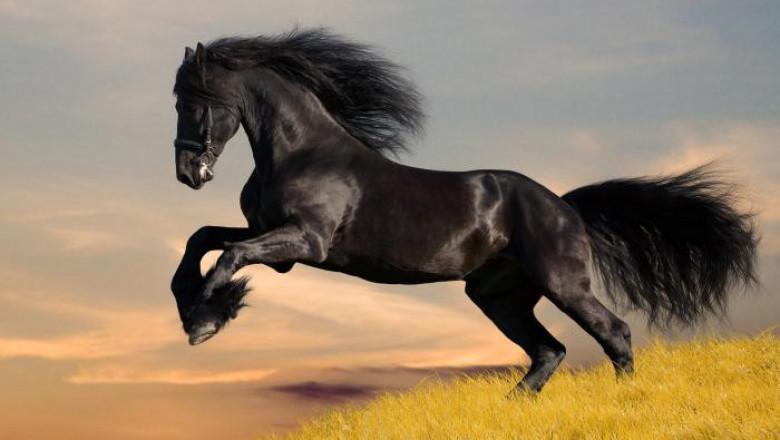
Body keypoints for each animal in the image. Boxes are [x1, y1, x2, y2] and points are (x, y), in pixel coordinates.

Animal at [170, 29, 757, 394]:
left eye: (194, 100)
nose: (187, 173)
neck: (302, 151)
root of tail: (564, 206)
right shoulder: (274, 238)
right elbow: (203, 239)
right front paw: (198, 309)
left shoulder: (304, 243)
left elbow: (229, 256)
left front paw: (206, 319)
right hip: (499, 296)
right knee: (549, 351)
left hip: (562, 283)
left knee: (613, 333)